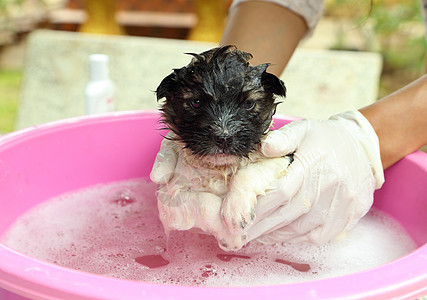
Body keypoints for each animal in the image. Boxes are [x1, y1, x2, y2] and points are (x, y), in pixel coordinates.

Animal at [153, 45, 290, 251]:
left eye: (248, 104)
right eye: (196, 102)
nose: (224, 138)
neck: (220, 169)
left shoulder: (284, 158)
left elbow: (250, 171)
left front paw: (236, 210)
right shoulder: (169, 200)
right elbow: (203, 201)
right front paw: (229, 236)